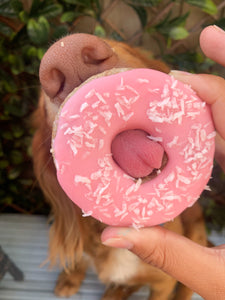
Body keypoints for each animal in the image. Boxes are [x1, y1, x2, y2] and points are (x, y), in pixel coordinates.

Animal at [32, 33, 207, 300]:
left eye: (126, 48)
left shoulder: (163, 284)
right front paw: (71, 278)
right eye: (42, 107)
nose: (67, 57)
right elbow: (82, 257)